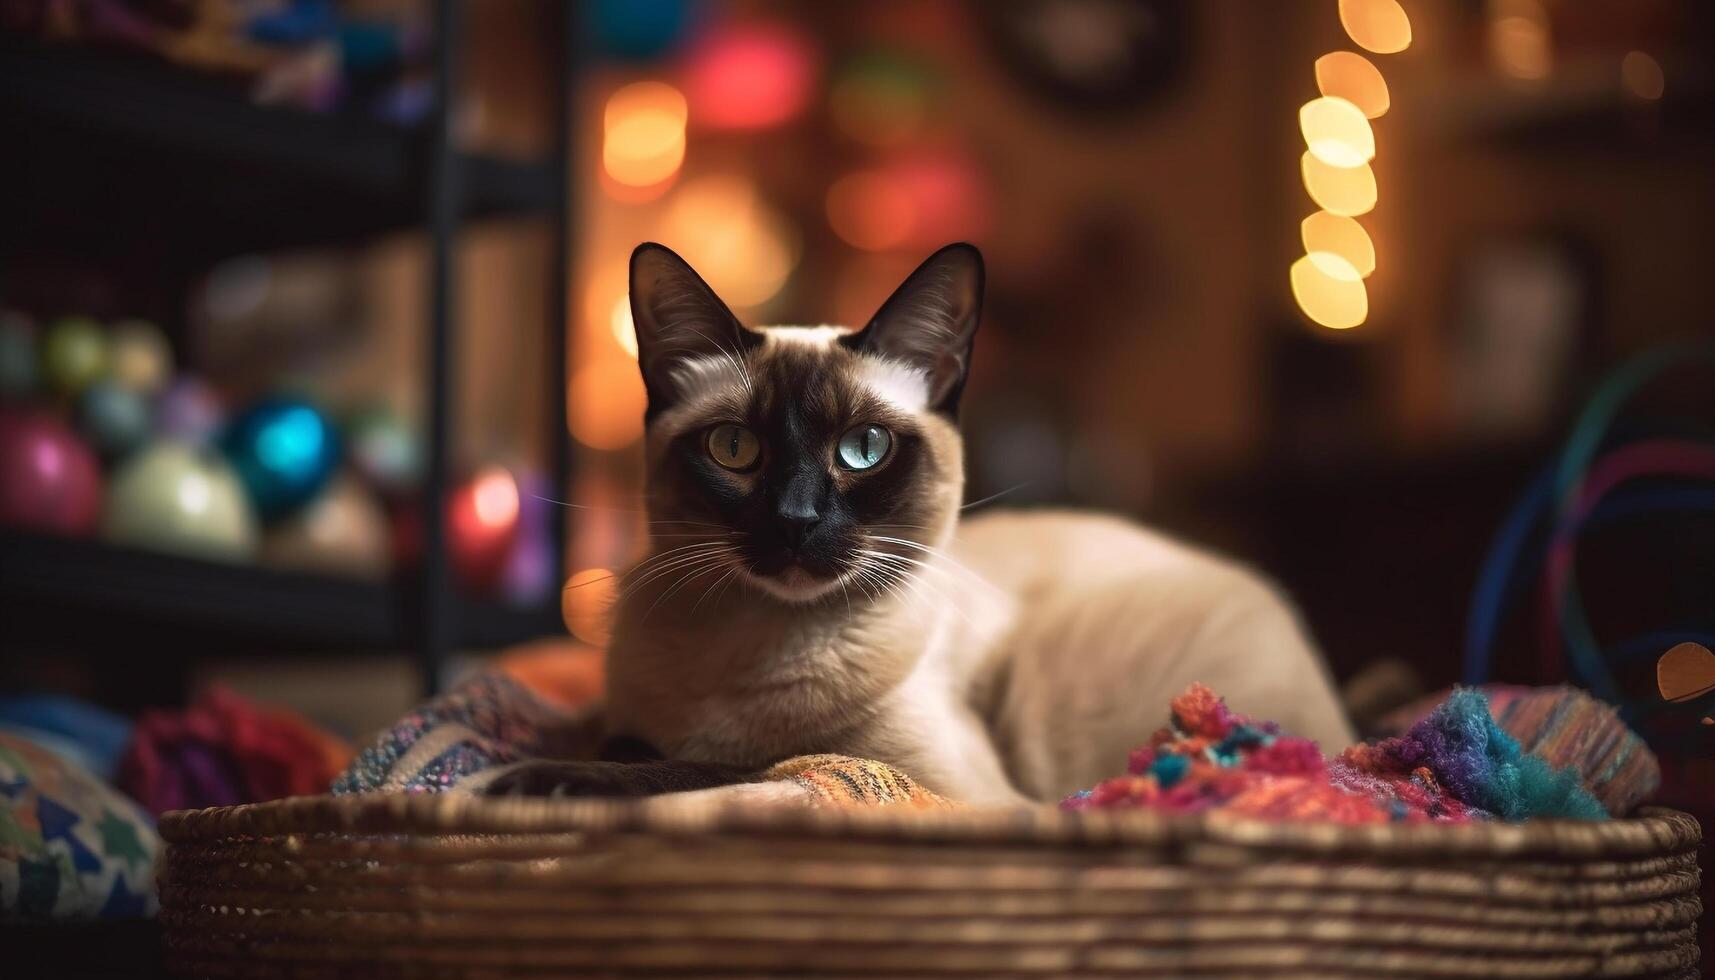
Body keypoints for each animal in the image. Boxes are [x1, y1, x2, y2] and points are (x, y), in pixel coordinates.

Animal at [487, 240, 1351, 806]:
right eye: (735, 449)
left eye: (862, 449)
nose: (796, 520)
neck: (751, 648)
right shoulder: (626, 718)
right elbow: (634, 744)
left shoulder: (944, 791)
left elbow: (762, 766)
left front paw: (532, 781)